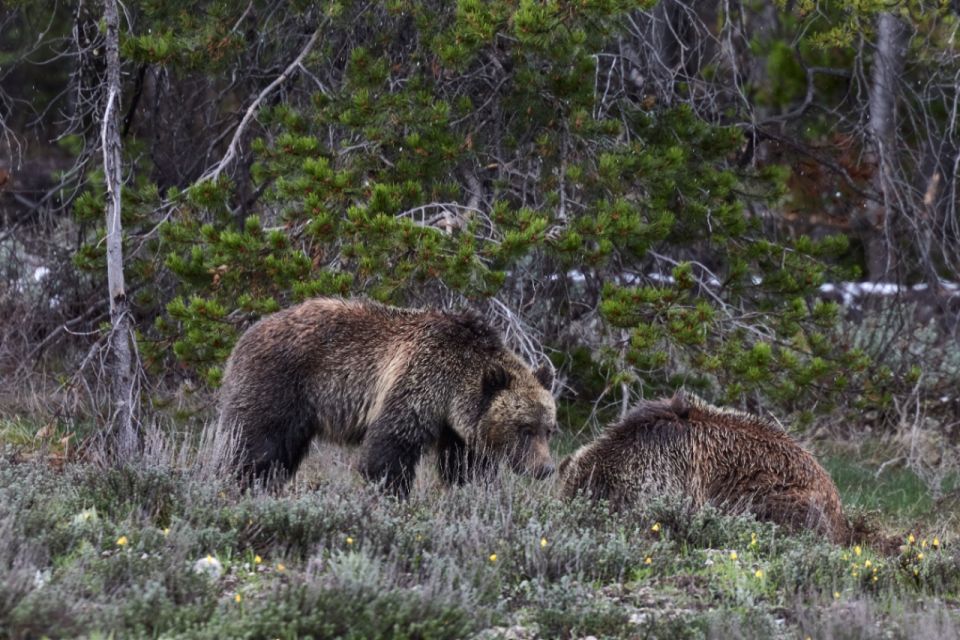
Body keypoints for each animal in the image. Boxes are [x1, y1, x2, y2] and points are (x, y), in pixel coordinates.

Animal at [217, 298, 556, 498]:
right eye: (525, 428)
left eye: (549, 429)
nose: (545, 469)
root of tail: (246, 334)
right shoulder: (418, 381)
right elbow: (390, 448)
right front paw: (392, 493)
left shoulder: (459, 426)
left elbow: (465, 465)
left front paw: (474, 489)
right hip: (279, 384)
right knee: (256, 444)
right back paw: (238, 483)